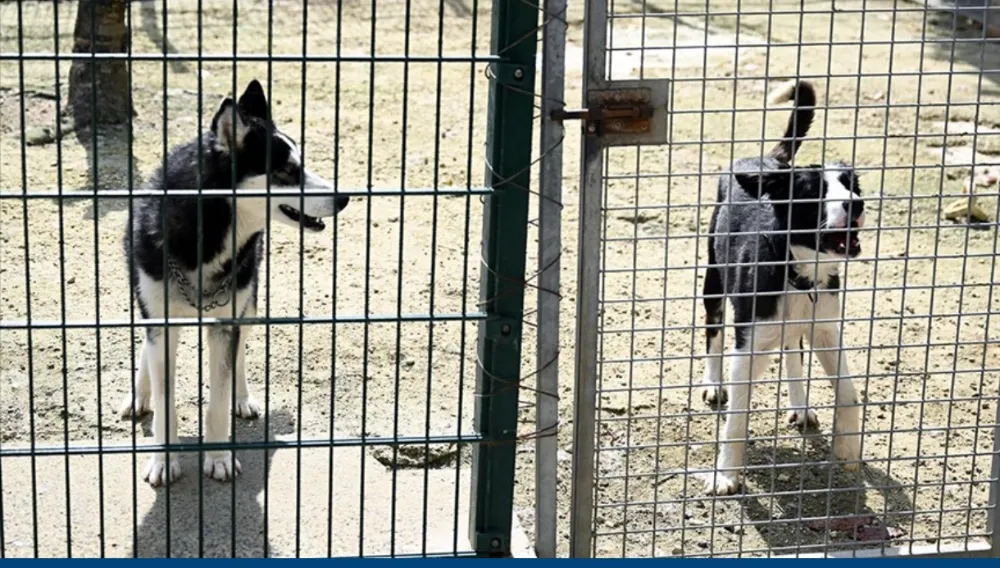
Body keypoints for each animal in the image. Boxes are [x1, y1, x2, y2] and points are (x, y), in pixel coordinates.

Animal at [121, 79, 350, 488]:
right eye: (287, 170)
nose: (344, 198)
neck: (207, 232)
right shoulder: (159, 318)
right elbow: (164, 398)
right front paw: (164, 460)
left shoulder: (226, 321)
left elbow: (218, 399)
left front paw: (218, 458)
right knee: (147, 351)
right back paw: (139, 394)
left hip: (249, 300)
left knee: (240, 351)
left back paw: (242, 399)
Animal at [704, 77, 868, 494]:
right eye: (814, 192)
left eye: (850, 186)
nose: (857, 204)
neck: (799, 269)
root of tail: (766, 161)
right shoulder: (747, 347)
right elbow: (736, 420)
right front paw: (726, 475)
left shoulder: (826, 330)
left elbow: (849, 394)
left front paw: (847, 449)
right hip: (713, 279)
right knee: (713, 330)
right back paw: (713, 383)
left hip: (796, 324)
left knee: (793, 350)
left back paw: (800, 404)